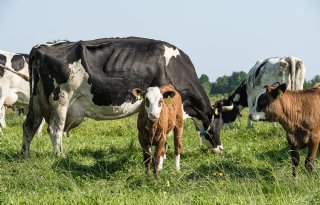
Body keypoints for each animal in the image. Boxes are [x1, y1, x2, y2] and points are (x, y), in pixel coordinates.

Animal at [21, 36, 222, 155]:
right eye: (219, 124)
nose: (220, 149)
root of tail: (41, 47)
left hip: (37, 101)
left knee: (29, 126)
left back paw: (25, 155)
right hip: (60, 99)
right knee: (55, 130)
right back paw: (61, 156)